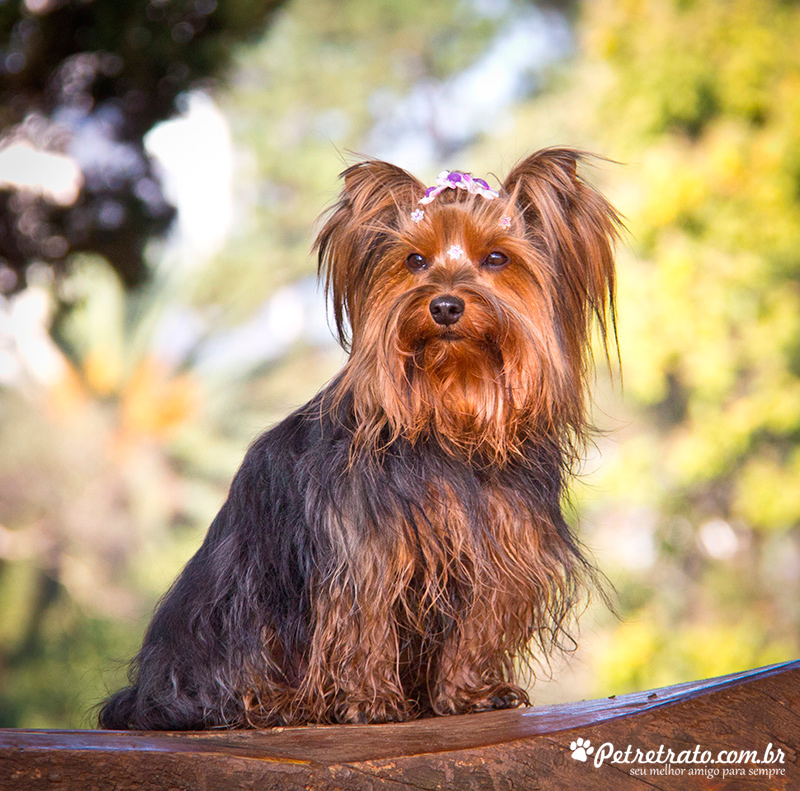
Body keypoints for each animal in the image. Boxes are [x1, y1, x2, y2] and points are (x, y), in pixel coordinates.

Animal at [98, 148, 620, 732]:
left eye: (496, 258)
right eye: (414, 261)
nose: (444, 306)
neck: (450, 419)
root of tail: (142, 695)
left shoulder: (504, 548)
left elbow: (479, 623)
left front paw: (469, 693)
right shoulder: (364, 551)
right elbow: (363, 622)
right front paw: (371, 702)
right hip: (234, 617)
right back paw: (280, 704)